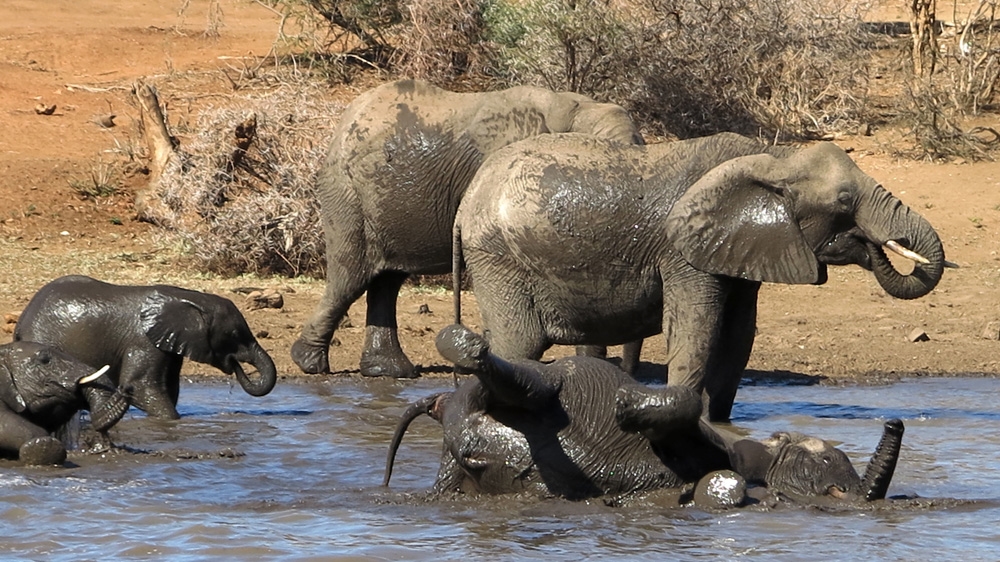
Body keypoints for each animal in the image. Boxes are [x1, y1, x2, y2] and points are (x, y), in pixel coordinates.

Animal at [13, 275, 277, 420]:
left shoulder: (167, 344)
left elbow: (169, 388)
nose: (236, 365)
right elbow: (139, 387)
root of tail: (21, 322)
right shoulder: (143, 341)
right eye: (233, 335)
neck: (188, 298)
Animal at [290, 78, 644, 378]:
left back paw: (390, 372)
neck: (572, 109)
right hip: (348, 195)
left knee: (387, 280)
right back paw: (310, 364)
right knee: (351, 276)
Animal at [383, 325, 904, 506]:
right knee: (542, 384)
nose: (894, 421)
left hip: (455, 466)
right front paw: (627, 406)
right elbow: (688, 408)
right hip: (556, 378)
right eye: (826, 459)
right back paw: (463, 345)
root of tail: (447, 405)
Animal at [451, 132, 946, 421]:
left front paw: (716, 427)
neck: (775, 157)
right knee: (518, 343)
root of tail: (465, 203)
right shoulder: (682, 253)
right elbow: (697, 329)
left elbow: (736, 336)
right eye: (844, 201)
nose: (874, 242)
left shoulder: (741, 248)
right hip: (499, 257)